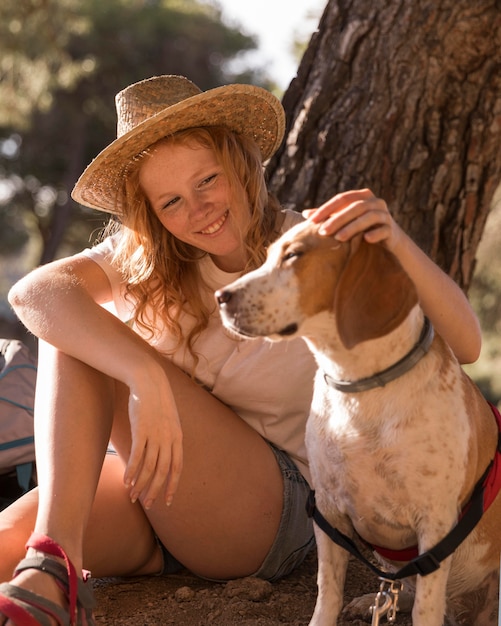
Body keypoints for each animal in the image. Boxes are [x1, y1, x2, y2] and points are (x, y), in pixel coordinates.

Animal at [215, 218, 500, 624]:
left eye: (295, 255)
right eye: (268, 255)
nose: (220, 296)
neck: (360, 389)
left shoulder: (434, 529)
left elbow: (426, 608)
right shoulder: (328, 511)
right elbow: (328, 591)